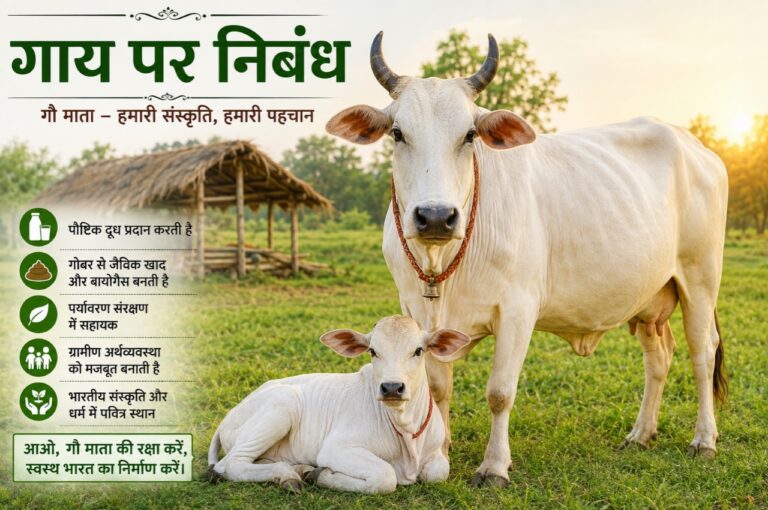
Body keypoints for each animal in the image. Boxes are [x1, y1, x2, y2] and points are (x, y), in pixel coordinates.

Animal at [207, 316, 470, 493]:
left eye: (418, 350)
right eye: (372, 351)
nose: (391, 387)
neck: (406, 431)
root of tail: (226, 418)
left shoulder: (436, 452)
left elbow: (438, 473)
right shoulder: (336, 448)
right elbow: (385, 477)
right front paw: (323, 476)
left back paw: (299, 469)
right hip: (283, 404)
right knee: (231, 465)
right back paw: (289, 476)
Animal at [325, 32, 728, 487]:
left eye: (469, 134)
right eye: (397, 132)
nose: (436, 216)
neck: (441, 262)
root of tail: (696, 146)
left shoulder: (517, 310)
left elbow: (500, 393)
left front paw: (494, 466)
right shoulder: (415, 309)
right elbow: (438, 385)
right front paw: (440, 450)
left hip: (700, 279)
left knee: (702, 353)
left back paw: (704, 439)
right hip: (649, 297)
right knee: (658, 357)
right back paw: (641, 433)